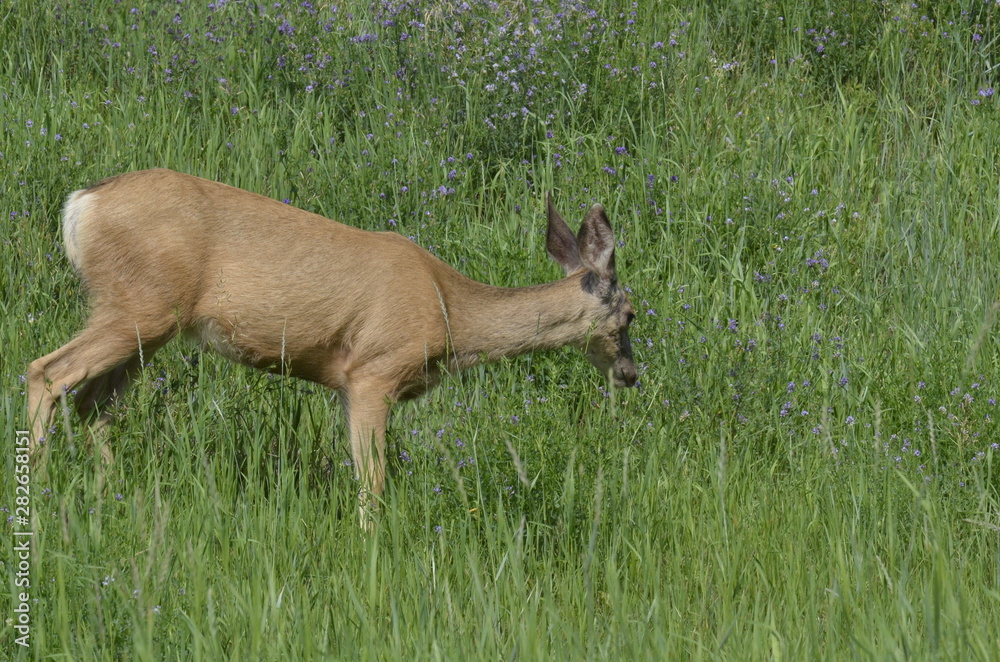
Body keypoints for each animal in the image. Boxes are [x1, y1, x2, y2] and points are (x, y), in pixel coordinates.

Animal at [27, 169, 638, 525]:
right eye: (631, 314)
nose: (632, 374)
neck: (452, 312)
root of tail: (81, 205)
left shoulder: (345, 385)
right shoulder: (374, 371)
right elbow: (373, 481)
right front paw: (372, 548)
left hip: (144, 328)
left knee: (95, 407)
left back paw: (106, 498)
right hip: (140, 306)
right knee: (46, 372)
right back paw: (37, 487)